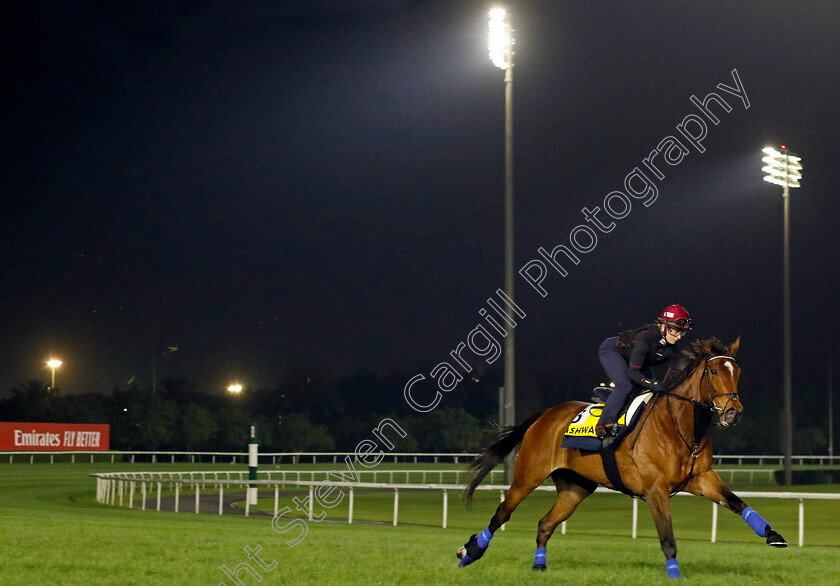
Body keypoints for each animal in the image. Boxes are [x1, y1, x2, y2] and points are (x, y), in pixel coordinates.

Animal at [456, 336, 784, 576]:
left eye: (737, 371)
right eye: (714, 371)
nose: (733, 412)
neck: (680, 425)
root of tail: (545, 415)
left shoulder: (702, 479)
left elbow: (737, 503)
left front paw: (773, 534)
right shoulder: (655, 488)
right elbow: (667, 536)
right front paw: (675, 574)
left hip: (575, 487)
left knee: (545, 523)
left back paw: (539, 565)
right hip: (528, 474)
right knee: (502, 513)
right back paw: (469, 552)